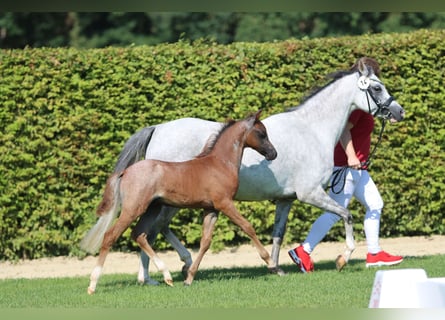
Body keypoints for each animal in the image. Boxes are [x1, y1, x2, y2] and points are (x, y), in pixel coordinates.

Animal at [79, 111, 274, 294]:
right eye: (262, 133)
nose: (273, 153)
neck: (219, 163)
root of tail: (125, 172)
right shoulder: (224, 204)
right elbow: (247, 227)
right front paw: (271, 263)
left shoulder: (211, 209)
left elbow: (205, 242)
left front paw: (189, 278)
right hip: (133, 209)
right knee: (111, 236)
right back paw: (93, 284)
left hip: (152, 208)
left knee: (139, 234)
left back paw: (166, 276)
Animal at [112, 57, 404, 282]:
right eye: (376, 87)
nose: (399, 111)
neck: (311, 130)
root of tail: (158, 129)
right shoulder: (310, 194)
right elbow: (346, 215)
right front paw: (343, 258)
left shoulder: (286, 200)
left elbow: (278, 234)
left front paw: (276, 267)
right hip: (166, 202)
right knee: (150, 230)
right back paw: (155, 276)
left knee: (153, 230)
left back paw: (166, 272)